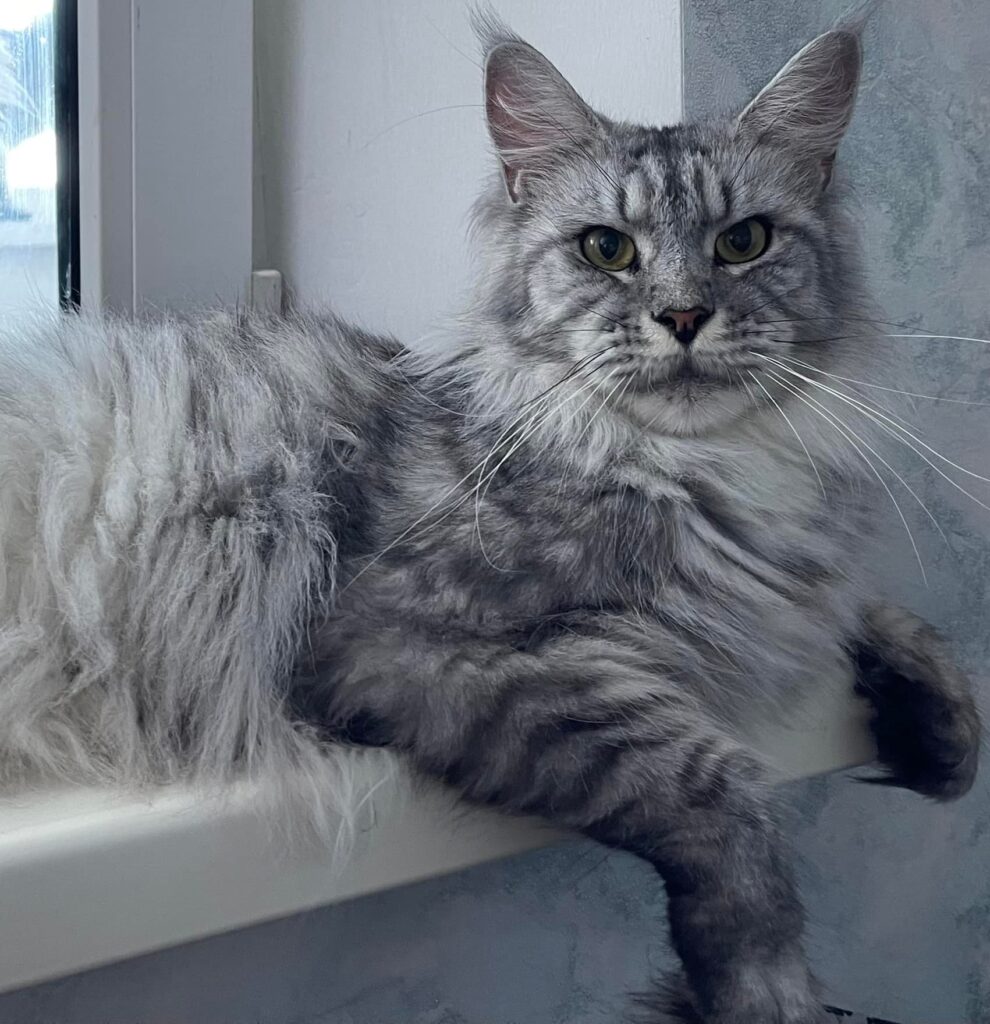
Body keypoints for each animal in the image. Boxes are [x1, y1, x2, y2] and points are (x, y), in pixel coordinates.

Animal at [0, 9, 978, 1024]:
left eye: (744, 241)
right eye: (606, 250)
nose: (682, 316)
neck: (696, 469)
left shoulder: (792, 589)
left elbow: (878, 619)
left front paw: (943, 727)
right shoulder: (412, 645)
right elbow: (723, 796)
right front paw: (766, 984)